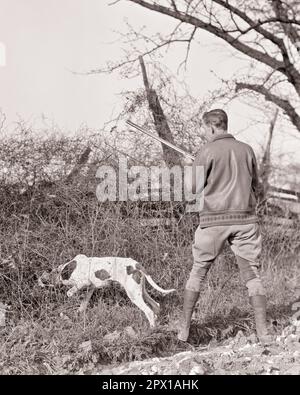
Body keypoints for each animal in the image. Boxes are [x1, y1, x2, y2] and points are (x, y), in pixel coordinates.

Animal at [38, 255, 175, 326]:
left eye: (42, 278)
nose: (37, 281)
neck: (64, 270)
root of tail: (136, 264)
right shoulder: (91, 288)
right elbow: (83, 303)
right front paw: (79, 313)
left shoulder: (83, 282)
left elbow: (70, 292)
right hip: (141, 292)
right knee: (156, 305)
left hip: (133, 295)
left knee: (149, 311)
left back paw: (151, 329)